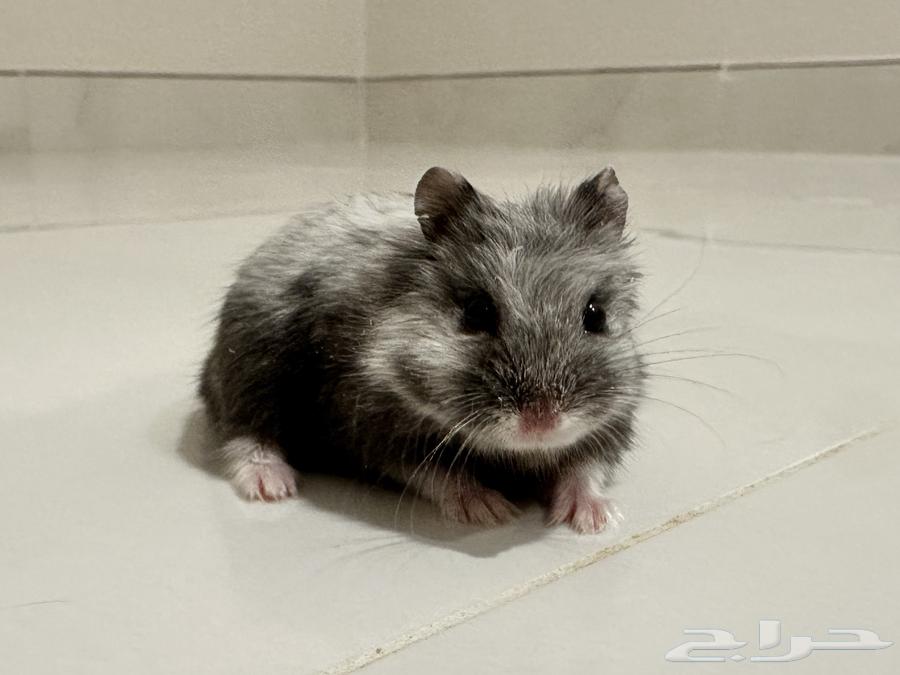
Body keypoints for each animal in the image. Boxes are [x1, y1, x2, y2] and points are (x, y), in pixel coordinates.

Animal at [199, 166, 645, 533]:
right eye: (477, 311)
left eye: (595, 315)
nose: (542, 423)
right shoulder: (375, 430)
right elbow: (440, 475)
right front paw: (491, 511)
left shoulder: (614, 422)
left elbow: (586, 468)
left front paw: (598, 520)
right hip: (250, 364)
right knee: (245, 430)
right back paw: (272, 487)